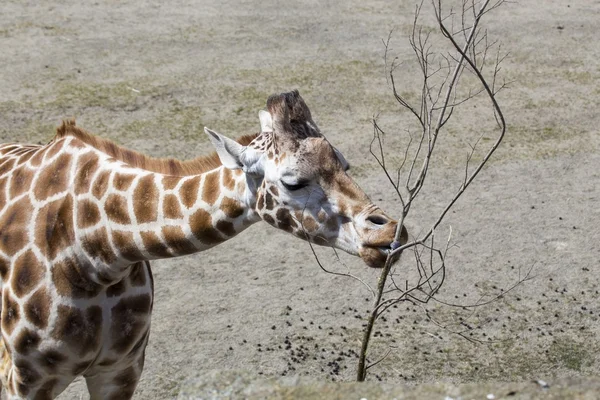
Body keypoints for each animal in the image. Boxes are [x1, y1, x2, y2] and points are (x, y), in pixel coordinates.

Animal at [0, 89, 408, 398]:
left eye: (345, 164)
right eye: (293, 182)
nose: (390, 233)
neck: (98, 250)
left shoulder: (121, 369)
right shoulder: (25, 380)